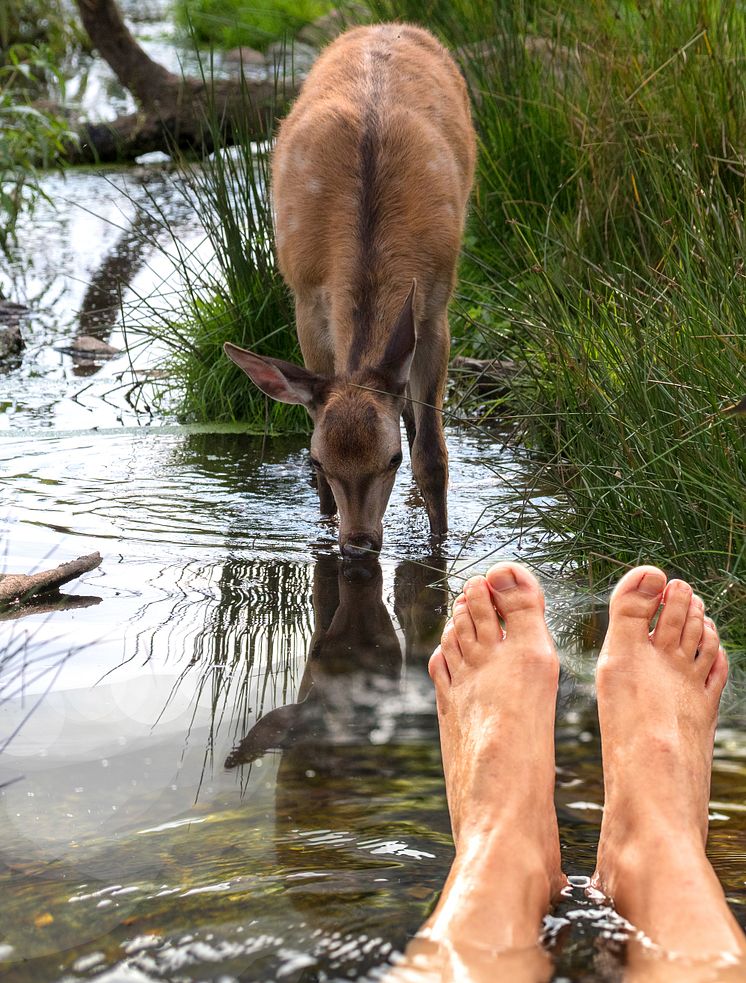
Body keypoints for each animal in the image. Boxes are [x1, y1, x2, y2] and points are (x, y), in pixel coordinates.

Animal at [224, 23, 474, 556]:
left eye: (391, 460)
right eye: (318, 460)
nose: (358, 544)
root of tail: (385, 25)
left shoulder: (436, 305)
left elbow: (432, 453)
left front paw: (439, 543)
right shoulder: (307, 299)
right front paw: (323, 526)